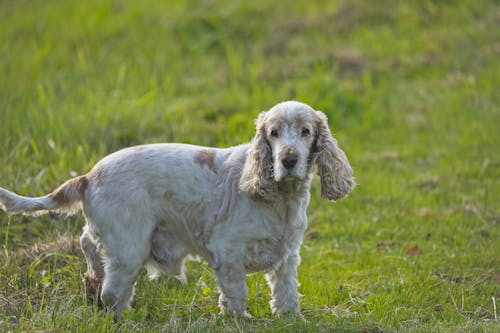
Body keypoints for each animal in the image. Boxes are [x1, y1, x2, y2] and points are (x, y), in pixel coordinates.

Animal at [0, 100, 354, 316]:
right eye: (273, 133)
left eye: (306, 132)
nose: (288, 160)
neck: (281, 198)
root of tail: (88, 176)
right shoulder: (229, 254)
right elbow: (236, 295)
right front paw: (240, 319)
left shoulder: (288, 256)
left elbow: (286, 293)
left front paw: (289, 318)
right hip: (129, 251)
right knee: (112, 294)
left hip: (103, 247)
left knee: (94, 278)